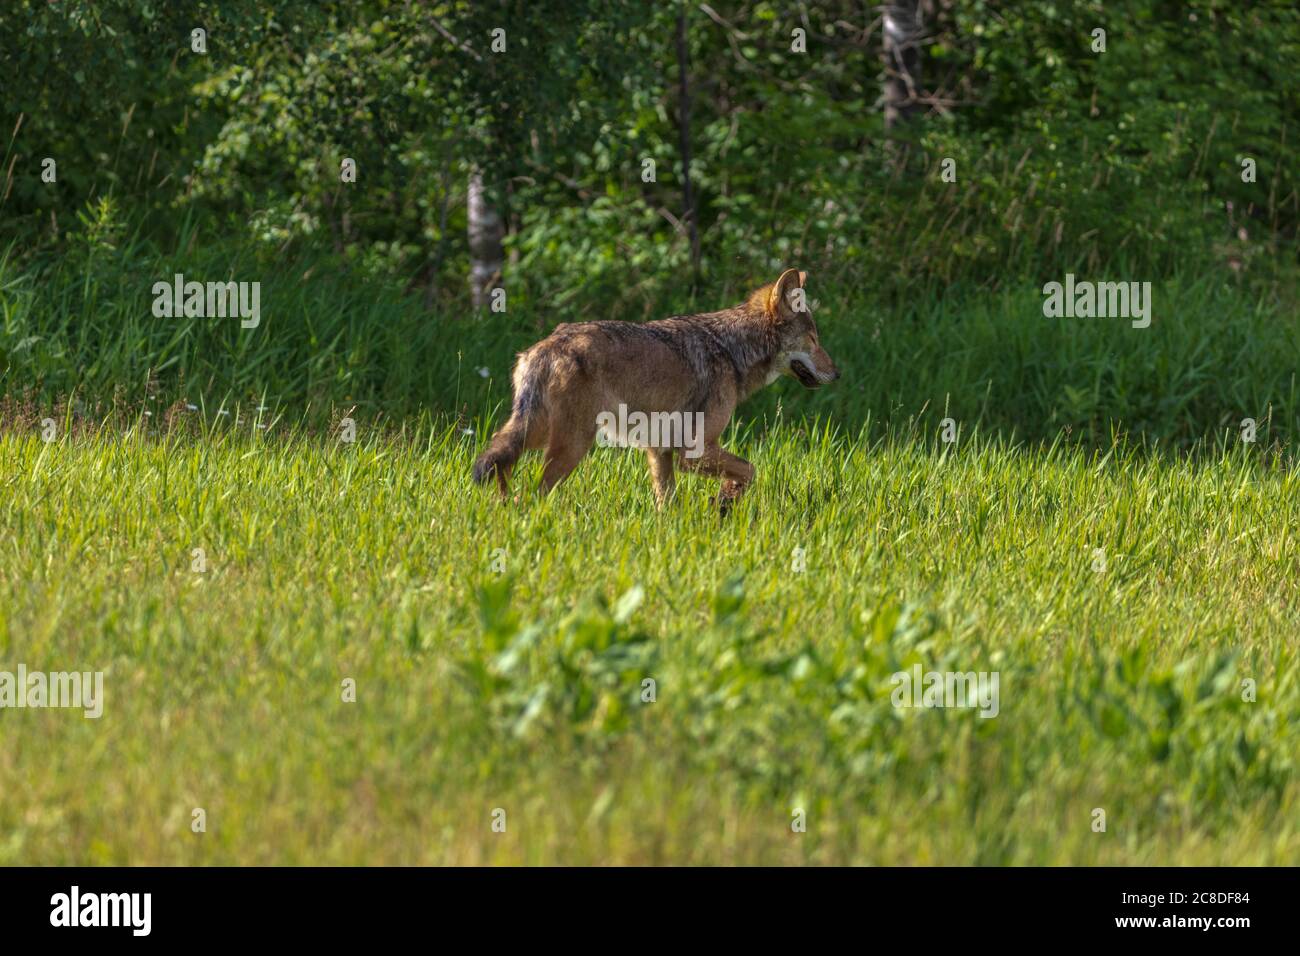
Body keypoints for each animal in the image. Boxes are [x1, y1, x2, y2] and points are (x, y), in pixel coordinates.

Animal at [472, 268, 839, 511]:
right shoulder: (694, 452)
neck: (733, 349)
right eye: (814, 339)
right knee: (531, 493)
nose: (837, 374)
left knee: (500, 460)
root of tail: (544, 348)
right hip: (572, 445)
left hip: (534, 434)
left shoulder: (659, 452)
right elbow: (750, 469)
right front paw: (724, 502)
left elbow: (667, 503)